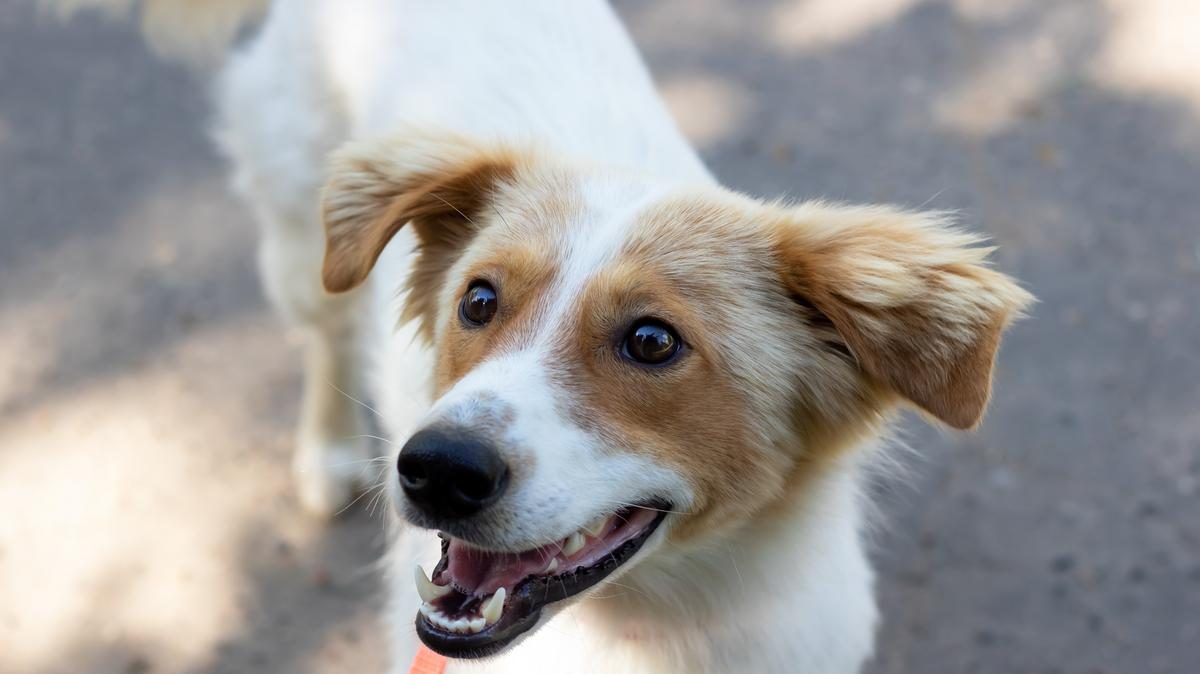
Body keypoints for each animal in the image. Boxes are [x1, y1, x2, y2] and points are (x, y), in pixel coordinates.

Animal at [58, 1, 1032, 671]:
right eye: (478, 300)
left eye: (652, 342)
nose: (435, 469)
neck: (637, 637)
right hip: (306, 241)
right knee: (326, 335)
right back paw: (327, 456)